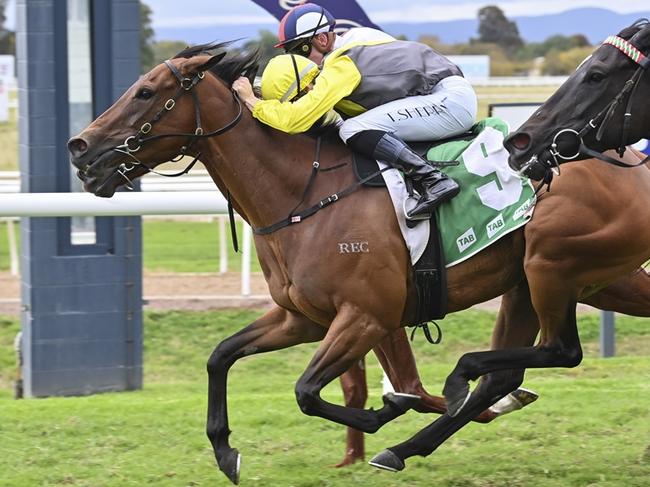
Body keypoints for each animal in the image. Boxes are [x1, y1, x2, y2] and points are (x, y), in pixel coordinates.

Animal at [66, 46, 648, 484]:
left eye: (145, 92)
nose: (80, 147)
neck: (301, 196)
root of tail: (632, 159)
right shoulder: (302, 318)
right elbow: (220, 356)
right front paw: (225, 451)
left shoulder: (366, 315)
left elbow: (310, 391)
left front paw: (382, 412)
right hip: (570, 280)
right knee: (507, 374)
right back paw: (423, 437)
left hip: (554, 266)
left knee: (556, 352)